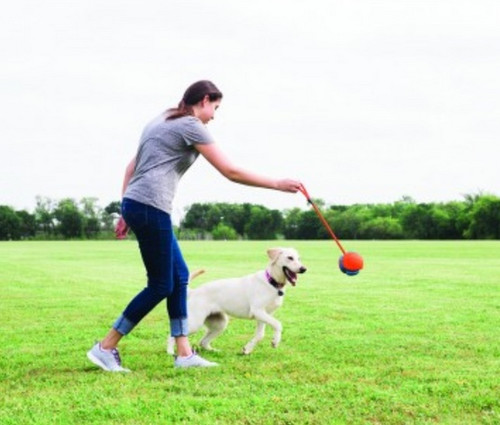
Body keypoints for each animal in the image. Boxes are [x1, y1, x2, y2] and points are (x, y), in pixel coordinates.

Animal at [168, 247, 306, 352]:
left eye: (299, 258)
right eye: (290, 258)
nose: (304, 269)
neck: (271, 282)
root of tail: (193, 291)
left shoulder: (263, 315)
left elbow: (260, 335)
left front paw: (247, 349)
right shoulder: (258, 311)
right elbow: (278, 324)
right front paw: (275, 341)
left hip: (220, 324)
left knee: (203, 341)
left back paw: (214, 351)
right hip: (195, 323)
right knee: (173, 335)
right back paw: (170, 353)